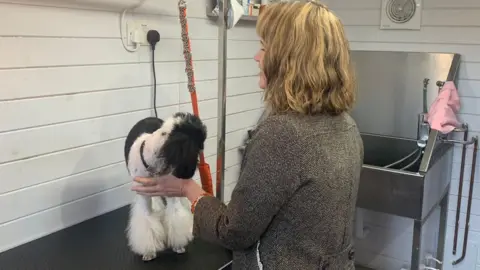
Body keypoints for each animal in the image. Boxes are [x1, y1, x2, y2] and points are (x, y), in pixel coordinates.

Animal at [124, 112, 206, 262]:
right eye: (197, 148)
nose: (190, 173)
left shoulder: (171, 190)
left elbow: (175, 215)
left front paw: (178, 245)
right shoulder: (144, 195)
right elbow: (147, 220)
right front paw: (149, 251)